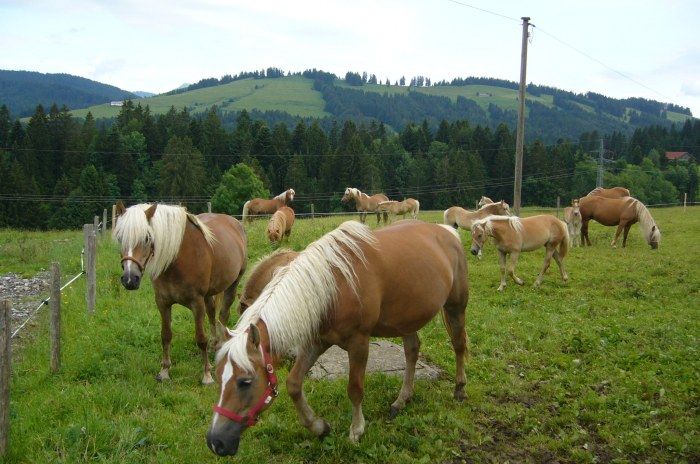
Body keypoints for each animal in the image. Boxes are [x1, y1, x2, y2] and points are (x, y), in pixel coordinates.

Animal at [113, 201, 247, 382]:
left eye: (147, 238)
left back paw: (220, 346)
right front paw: (164, 371)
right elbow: (166, 335)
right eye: (120, 238)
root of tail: (234, 222)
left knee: (223, 315)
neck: (176, 261)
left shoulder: (196, 303)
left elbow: (200, 338)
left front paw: (206, 375)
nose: (129, 279)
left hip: (233, 283)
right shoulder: (162, 302)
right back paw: (214, 344)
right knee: (212, 313)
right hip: (208, 294)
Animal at [208, 219, 470, 454]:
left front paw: (356, 430)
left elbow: (354, 389)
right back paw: (401, 400)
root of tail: (447, 231)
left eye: (245, 382)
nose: (215, 442)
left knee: (458, 345)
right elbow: (294, 384)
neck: (333, 285)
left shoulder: (359, 343)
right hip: (406, 320)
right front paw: (319, 426)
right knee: (412, 351)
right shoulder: (316, 341)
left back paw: (459, 389)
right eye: (219, 377)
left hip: (455, 307)